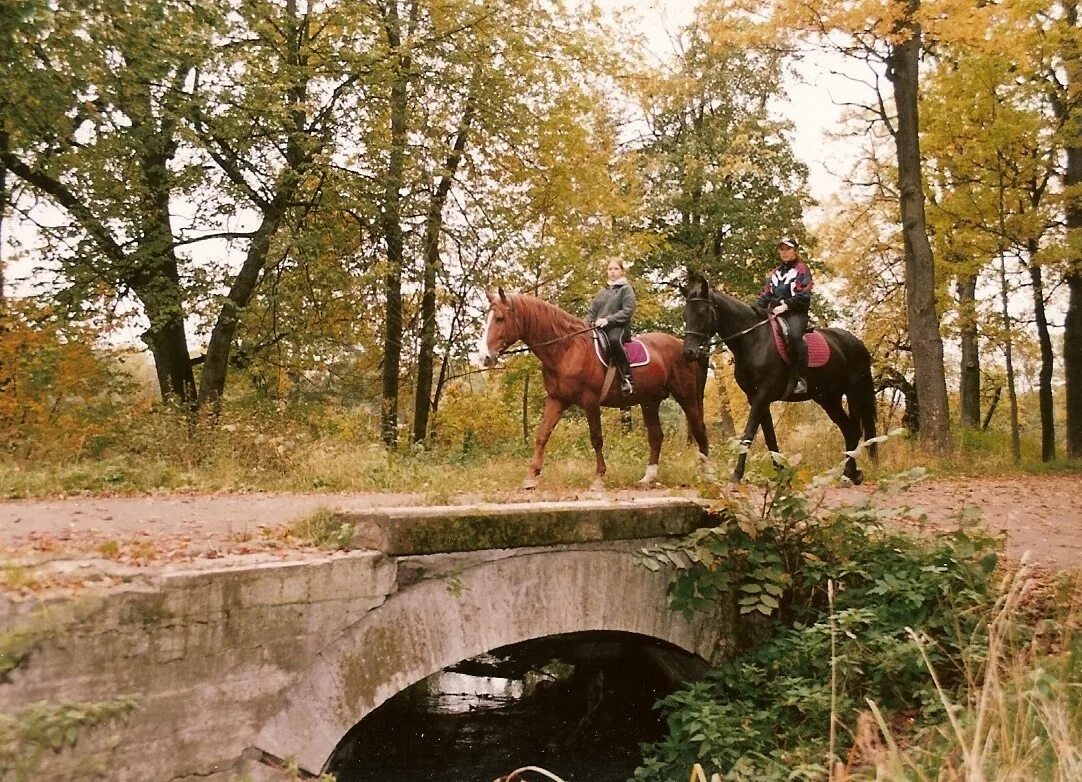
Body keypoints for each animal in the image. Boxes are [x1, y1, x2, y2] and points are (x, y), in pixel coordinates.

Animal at [473, 289, 709, 493]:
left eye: (500, 318)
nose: (486, 357)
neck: (566, 349)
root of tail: (684, 347)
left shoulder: (590, 401)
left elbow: (596, 438)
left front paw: (598, 478)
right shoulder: (557, 399)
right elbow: (542, 434)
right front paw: (531, 476)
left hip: (686, 396)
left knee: (698, 428)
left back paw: (707, 474)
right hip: (650, 401)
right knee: (656, 436)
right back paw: (648, 478)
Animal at [683, 272, 878, 486]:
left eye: (702, 313)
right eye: (685, 314)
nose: (689, 352)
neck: (754, 340)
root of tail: (857, 343)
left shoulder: (763, 395)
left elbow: (749, 434)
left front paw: (737, 475)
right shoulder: (756, 397)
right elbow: (769, 436)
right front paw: (781, 474)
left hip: (854, 393)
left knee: (854, 430)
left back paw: (848, 474)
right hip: (828, 398)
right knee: (850, 430)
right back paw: (850, 474)